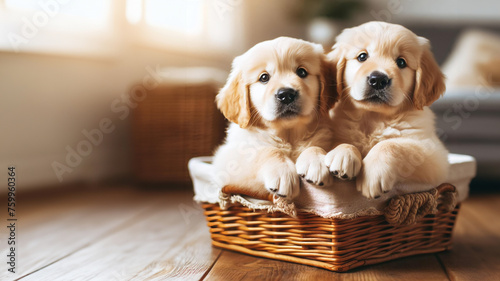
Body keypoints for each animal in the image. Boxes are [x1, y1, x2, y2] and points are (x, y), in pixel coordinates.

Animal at [212, 36, 334, 199]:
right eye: (264, 77)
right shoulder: (228, 161)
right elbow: (266, 150)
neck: (288, 135)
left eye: (302, 72)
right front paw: (283, 173)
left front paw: (316, 163)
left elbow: (314, 145)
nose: (286, 94)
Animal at [324, 21, 450, 197]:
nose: (378, 80)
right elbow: (345, 142)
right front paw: (343, 155)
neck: (373, 117)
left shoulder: (435, 155)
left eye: (401, 62)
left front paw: (373, 173)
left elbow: (391, 144)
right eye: (362, 56)